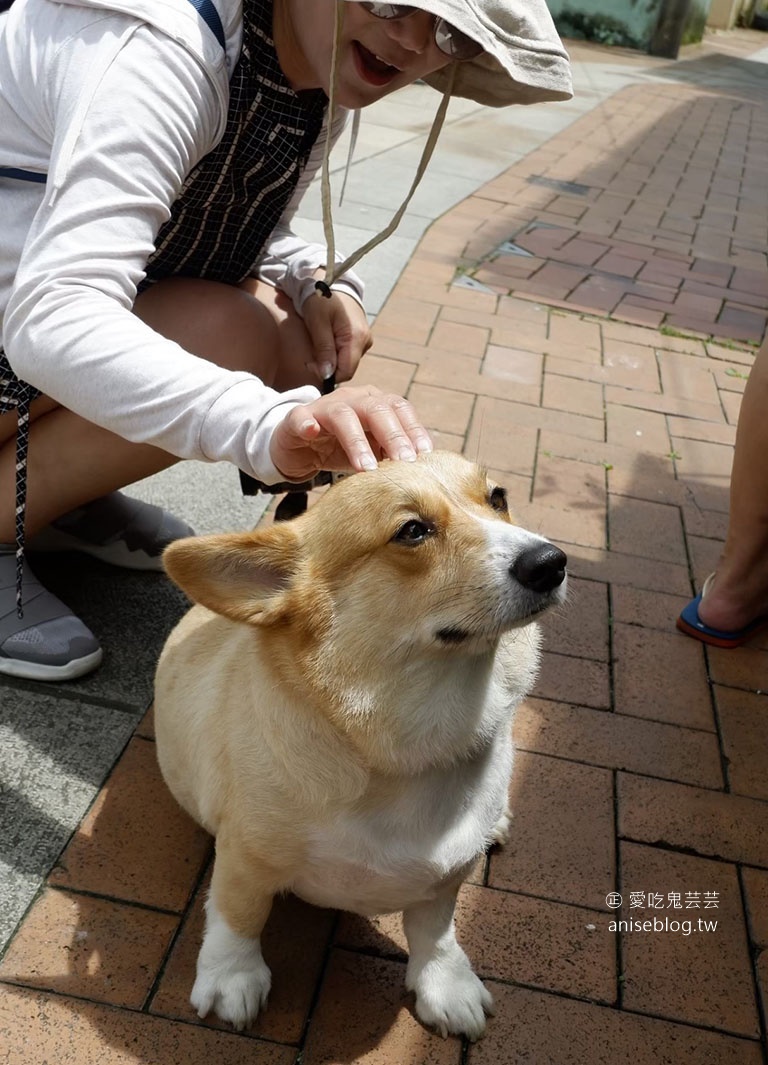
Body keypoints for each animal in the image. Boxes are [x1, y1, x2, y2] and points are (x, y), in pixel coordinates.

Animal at [152, 449, 566, 1039]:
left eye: (499, 497)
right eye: (412, 531)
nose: (552, 562)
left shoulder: (447, 878)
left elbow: (436, 931)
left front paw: (446, 984)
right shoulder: (245, 857)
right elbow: (238, 916)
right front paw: (231, 978)